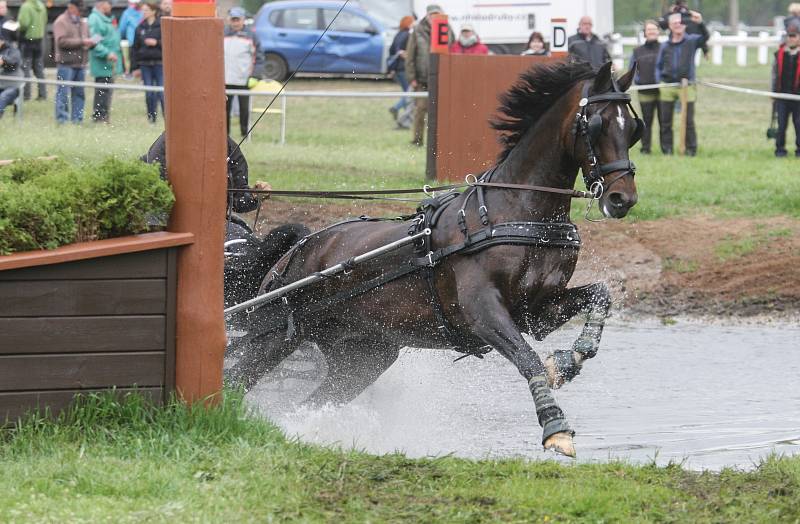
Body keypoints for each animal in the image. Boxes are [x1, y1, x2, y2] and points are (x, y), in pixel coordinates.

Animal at [228, 61, 640, 456]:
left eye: (633, 128)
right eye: (598, 123)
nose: (623, 198)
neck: (514, 210)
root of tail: (294, 252)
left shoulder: (535, 310)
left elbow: (599, 295)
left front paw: (572, 359)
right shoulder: (483, 312)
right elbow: (528, 358)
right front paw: (556, 428)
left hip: (364, 357)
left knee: (313, 400)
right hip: (272, 337)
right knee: (236, 379)